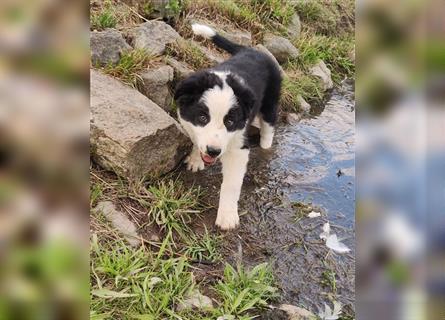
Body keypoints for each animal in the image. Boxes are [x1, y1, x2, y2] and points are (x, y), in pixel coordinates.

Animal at [174, 23, 280, 230]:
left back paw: (265, 147)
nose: (213, 151)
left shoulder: (239, 147)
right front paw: (195, 159)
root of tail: (252, 49)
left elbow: (231, 184)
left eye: (229, 122)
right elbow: (196, 140)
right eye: (202, 118)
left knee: (268, 127)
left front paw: (227, 217)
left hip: (270, 103)